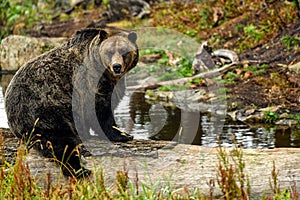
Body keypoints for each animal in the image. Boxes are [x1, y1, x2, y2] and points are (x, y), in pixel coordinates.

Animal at [4, 27, 138, 177]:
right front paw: (123, 135)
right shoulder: (88, 87)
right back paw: (81, 170)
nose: (117, 67)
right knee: (62, 144)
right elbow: (101, 114)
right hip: (46, 113)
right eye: (109, 52)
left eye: (124, 52)